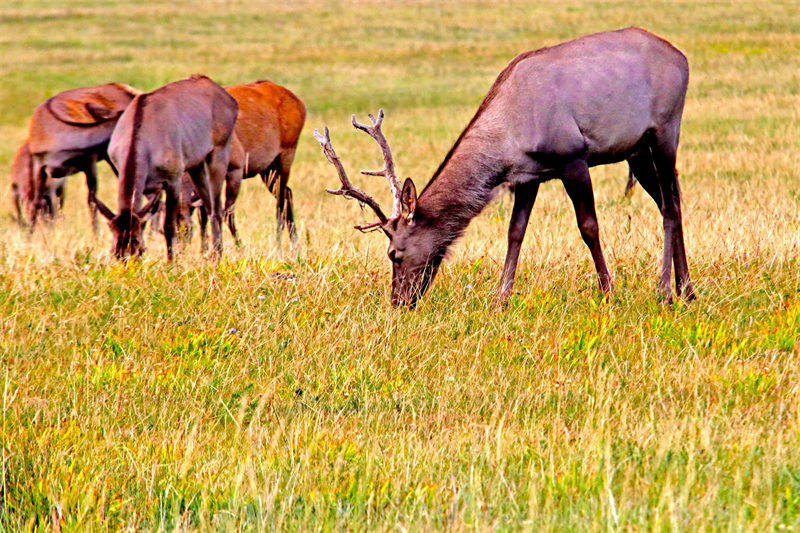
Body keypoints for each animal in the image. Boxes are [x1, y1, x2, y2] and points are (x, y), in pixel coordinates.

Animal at [89, 74, 238, 258]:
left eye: (139, 248)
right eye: (115, 252)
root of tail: (230, 100)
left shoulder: (173, 178)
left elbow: (169, 225)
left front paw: (172, 261)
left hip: (220, 150)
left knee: (217, 208)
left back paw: (218, 255)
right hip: (196, 164)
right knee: (208, 205)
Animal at [318, 27, 692, 306]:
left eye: (394, 253)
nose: (398, 302)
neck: (509, 139)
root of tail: (682, 57)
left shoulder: (572, 156)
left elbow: (588, 227)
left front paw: (608, 293)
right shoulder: (529, 176)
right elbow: (515, 232)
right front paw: (501, 299)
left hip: (665, 130)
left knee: (670, 207)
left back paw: (664, 291)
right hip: (637, 151)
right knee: (670, 201)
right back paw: (686, 290)